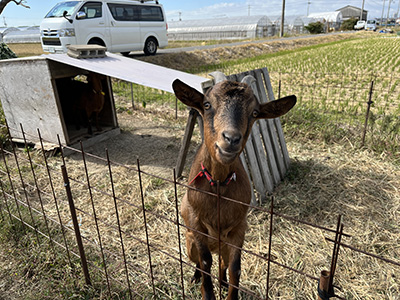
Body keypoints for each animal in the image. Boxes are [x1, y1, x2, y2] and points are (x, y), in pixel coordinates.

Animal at [173, 73, 296, 300]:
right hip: (189, 242)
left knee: (222, 262)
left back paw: (221, 282)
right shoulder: (196, 224)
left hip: (223, 244)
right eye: (207, 104)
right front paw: (207, 292)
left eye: (254, 112)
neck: (219, 185)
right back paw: (195, 277)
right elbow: (205, 262)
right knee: (199, 261)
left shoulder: (239, 228)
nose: (231, 139)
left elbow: (235, 268)